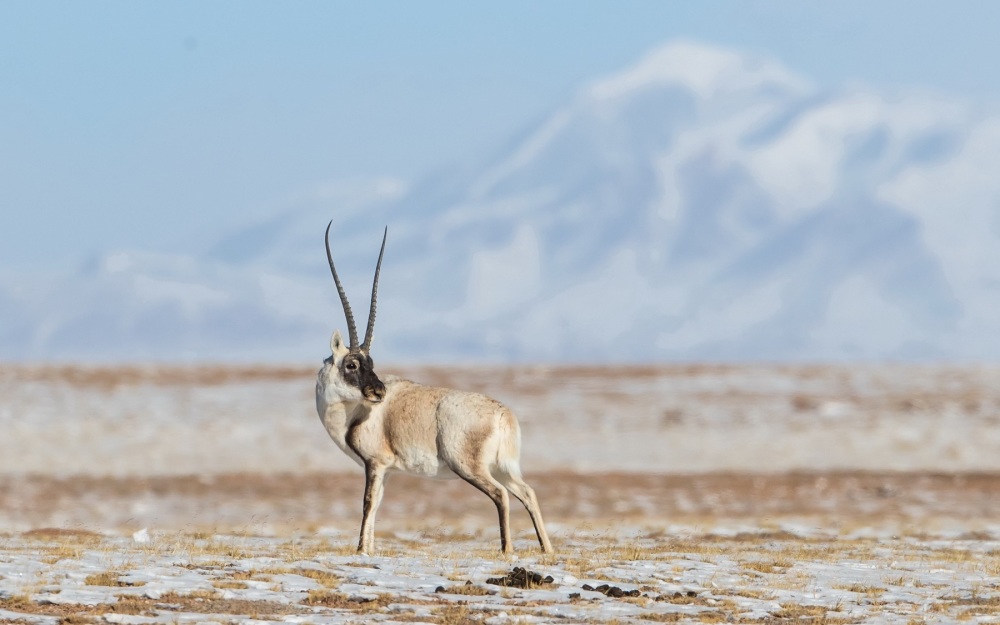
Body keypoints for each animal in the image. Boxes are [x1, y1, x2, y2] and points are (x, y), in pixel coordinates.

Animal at [316, 222, 556, 552]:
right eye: (353, 364)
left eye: (368, 362)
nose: (378, 392)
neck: (353, 413)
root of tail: (503, 415)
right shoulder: (386, 470)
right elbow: (377, 505)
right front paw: (371, 549)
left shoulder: (375, 464)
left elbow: (367, 504)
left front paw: (361, 550)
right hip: (503, 468)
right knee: (527, 492)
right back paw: (547, 549)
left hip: (471, 468)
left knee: (501, 495)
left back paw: (506, 551)